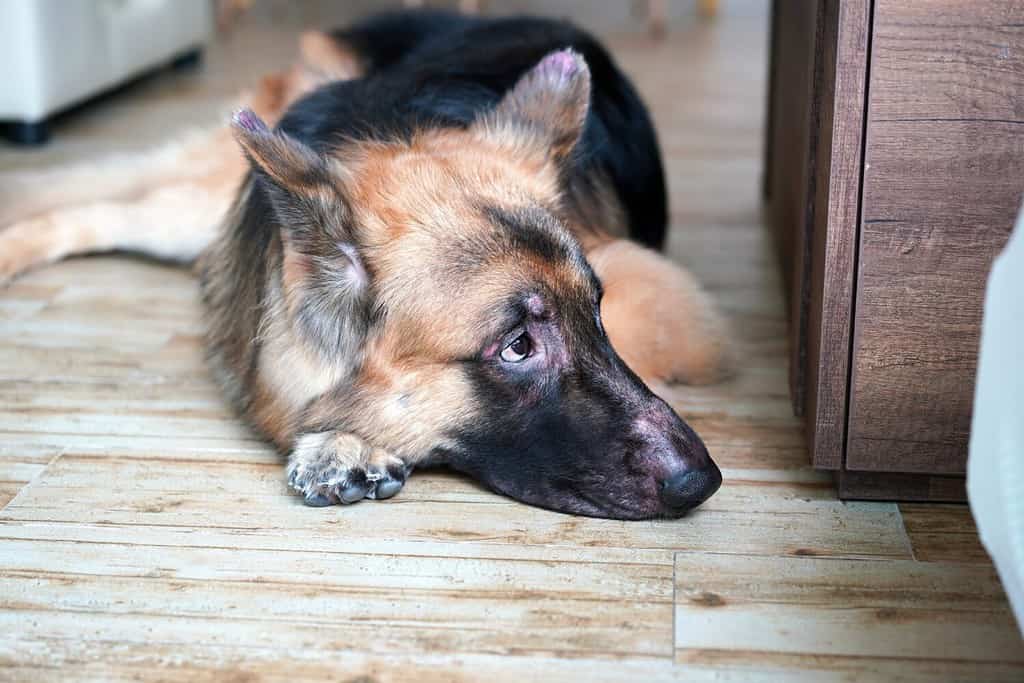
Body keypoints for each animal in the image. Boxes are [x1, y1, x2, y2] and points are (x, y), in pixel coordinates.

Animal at [0, 9, 729, 518]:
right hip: (203, 208)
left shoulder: (666, 301)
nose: (705, 479)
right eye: (518, 344)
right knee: (95, 204)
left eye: (595, 313)